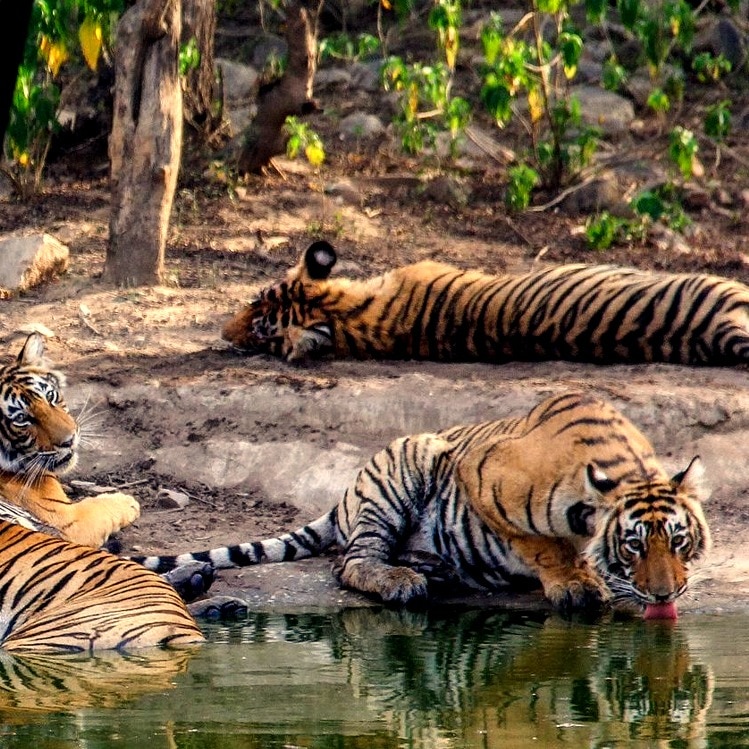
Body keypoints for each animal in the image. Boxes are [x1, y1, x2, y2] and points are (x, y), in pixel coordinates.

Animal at [0, 333, 139, 547]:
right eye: (21, 419)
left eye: (50, 395)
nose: (70, 439)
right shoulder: (71, 518)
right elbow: (101, 506)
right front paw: (128, 501)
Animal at [132, 392, 712, 617]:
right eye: (633, 546)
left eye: (679, 542)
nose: (667, 594)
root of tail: (344, 497)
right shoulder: (480, 473)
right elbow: (538, 543)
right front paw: (573, 582)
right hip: (406, 465)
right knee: (352, 563)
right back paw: (402, 581)